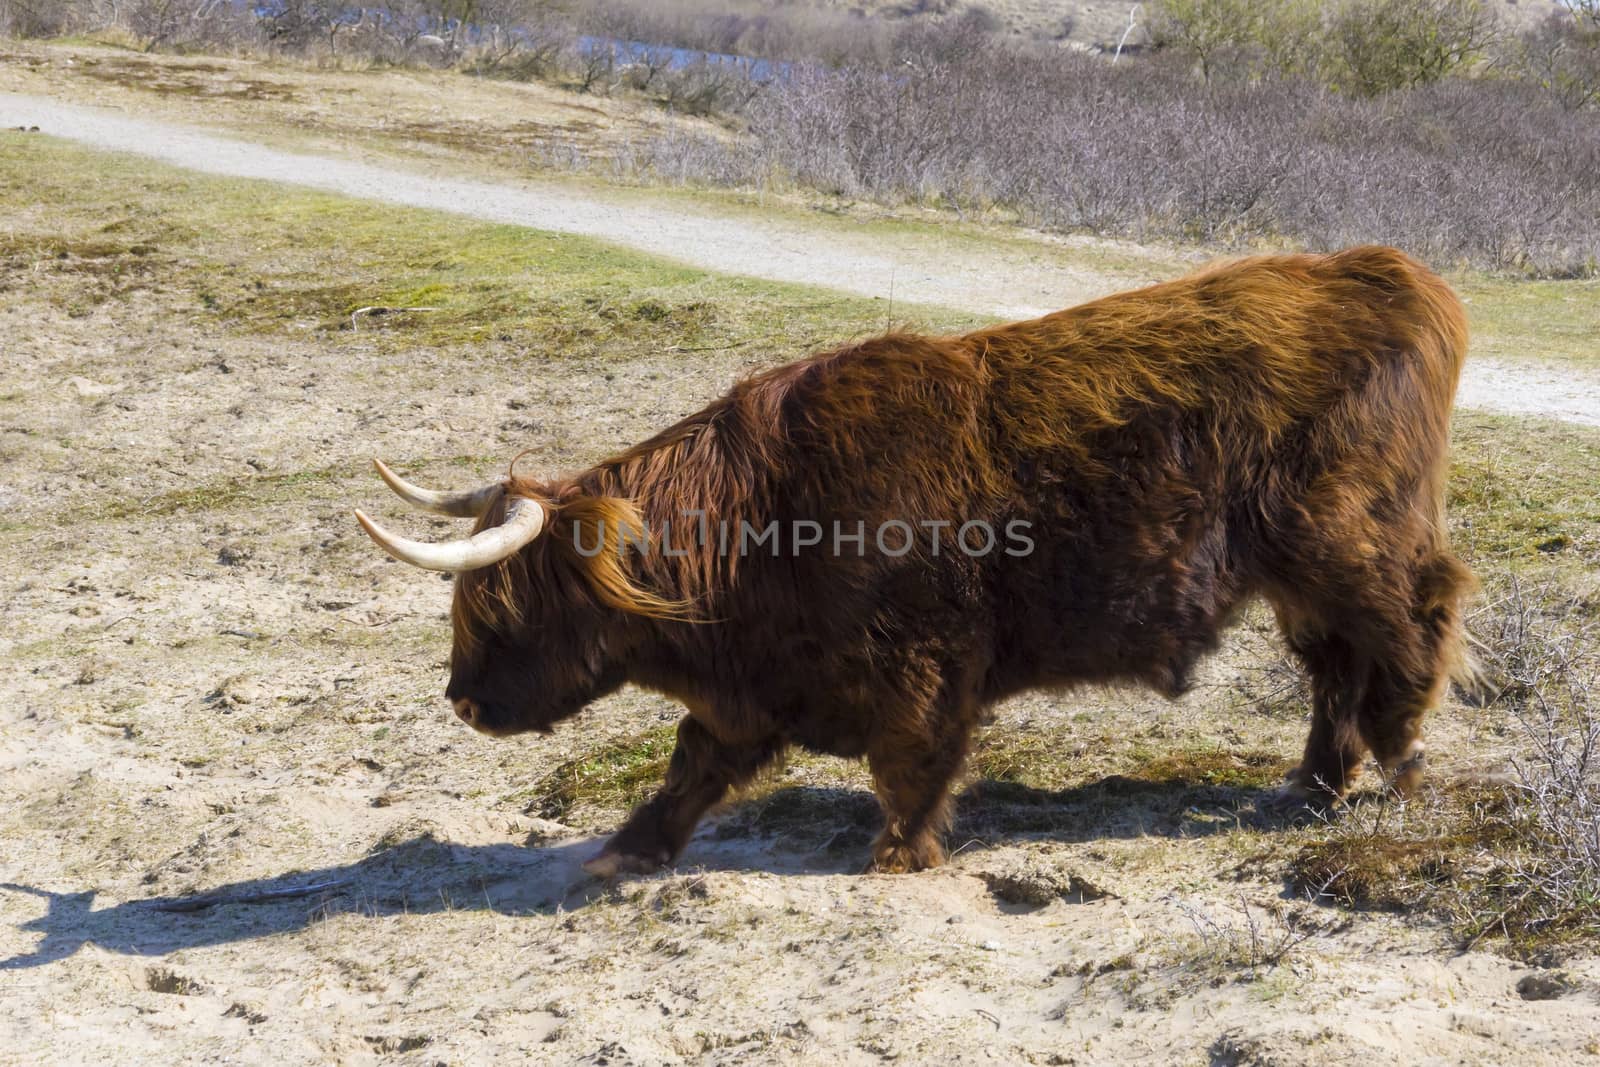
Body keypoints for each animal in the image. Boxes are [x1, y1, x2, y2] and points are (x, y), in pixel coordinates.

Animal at [360, 247, 1472, 876]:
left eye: (507, 609)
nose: (462, 700)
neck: (763, 521)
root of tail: (1391, 273)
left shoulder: (922, 660)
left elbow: (910, 760)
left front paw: (898, 855)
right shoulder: (757, 687)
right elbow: (692, 763)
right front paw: (623, 851)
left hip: (1350, 541)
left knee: (1412, 626)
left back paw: (1402, 766)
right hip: (1301, 577)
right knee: (1335, 665)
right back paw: (1314, 782)